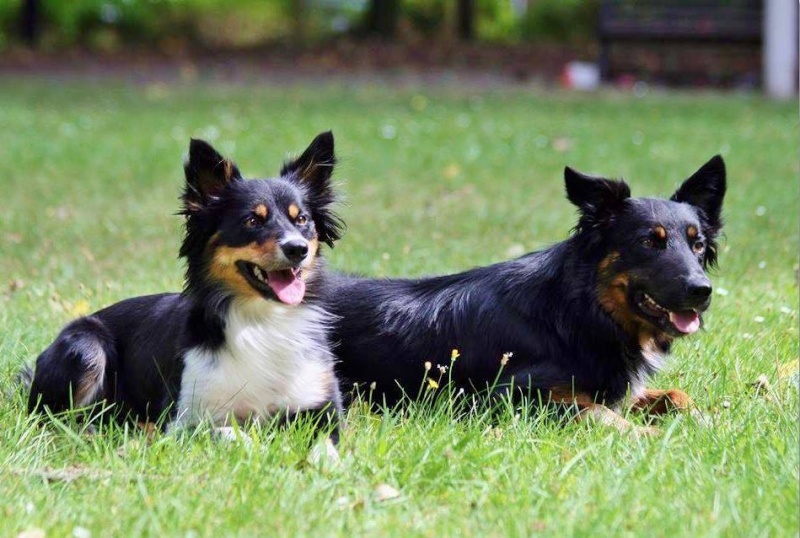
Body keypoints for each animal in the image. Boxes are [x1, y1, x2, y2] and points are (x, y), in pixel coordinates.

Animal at [26, 130, 346, 440]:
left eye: (301, 219)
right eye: (252, 221)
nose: (297, 248)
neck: (262, 320)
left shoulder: (324, 405)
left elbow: (325, 441)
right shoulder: (184, 420)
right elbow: (231, 433)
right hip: (86, 345)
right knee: (53, 418)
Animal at [326, 155, 724, 432]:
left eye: (698, 245)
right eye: (648, 242)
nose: (702, 292)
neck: (579, 312)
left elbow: (676, 395)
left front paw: (706, 423)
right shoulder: (505, 396)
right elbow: (596, 413)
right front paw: (655, 437)